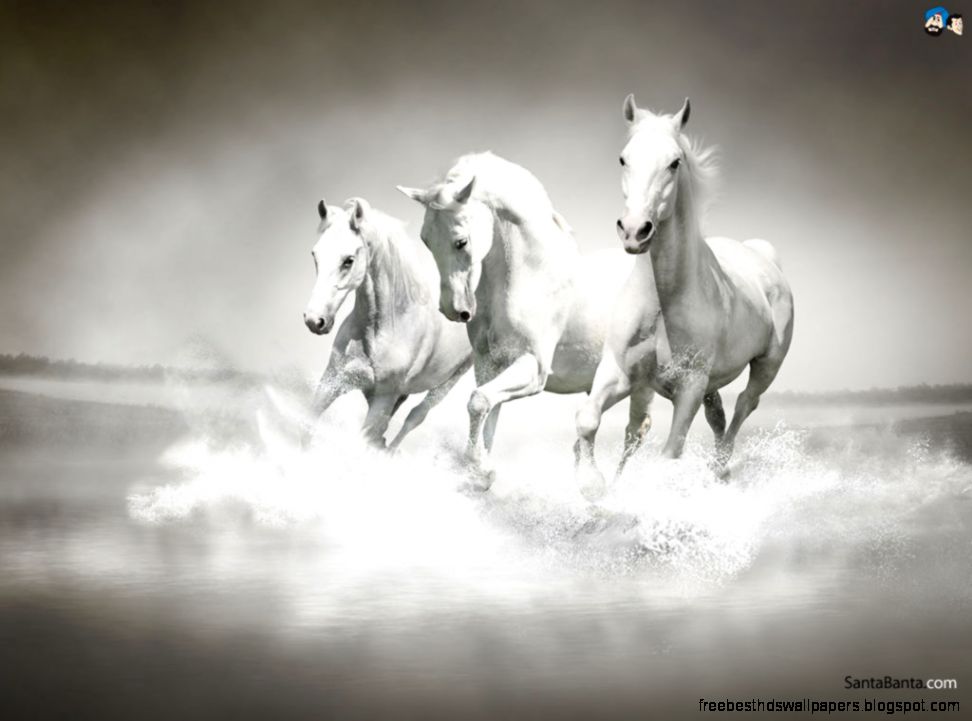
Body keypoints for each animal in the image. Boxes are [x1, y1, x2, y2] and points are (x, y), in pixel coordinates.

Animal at [302, 197, 472, 449]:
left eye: (348, 260)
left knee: (416, 416)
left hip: (449, 381)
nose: (315, 320)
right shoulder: (332, 381)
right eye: (315, 255)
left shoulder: (382, 399)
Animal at [397, 152, 633, 489]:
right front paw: (480, 473)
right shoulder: (489, 365)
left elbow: (478, 402)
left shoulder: (533, 368)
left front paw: (480, 468)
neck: (531, 276)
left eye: (461, 241)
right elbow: (486, 414)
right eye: (425, 240)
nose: (453, 310)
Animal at [605, 94, 793, 485]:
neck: (665, 300)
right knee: (718, 415)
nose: (634, 231)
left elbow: (668, 452)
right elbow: (629, 435)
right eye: (623, 158)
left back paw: (720, 469)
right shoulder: (631, 375)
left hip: (766, 366)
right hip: (713, 384)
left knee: (744, 405)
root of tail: (763, 256)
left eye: (674, 162)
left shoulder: (689, 387)